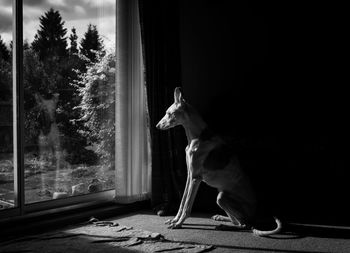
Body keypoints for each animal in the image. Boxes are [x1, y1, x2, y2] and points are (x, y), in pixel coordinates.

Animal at [156, 88, 282, 236]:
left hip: (222, 197)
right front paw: (175, 220)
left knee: (244, 224)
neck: (198, 137)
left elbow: (187, 205)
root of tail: (255, 215)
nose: (157, 126)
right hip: (221, 198)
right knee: (237, 221)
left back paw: (224, 226)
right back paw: (221, 218)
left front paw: (179, 224)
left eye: (169, 113)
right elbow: (182, 202)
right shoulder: (189, 176)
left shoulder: (195, 178)